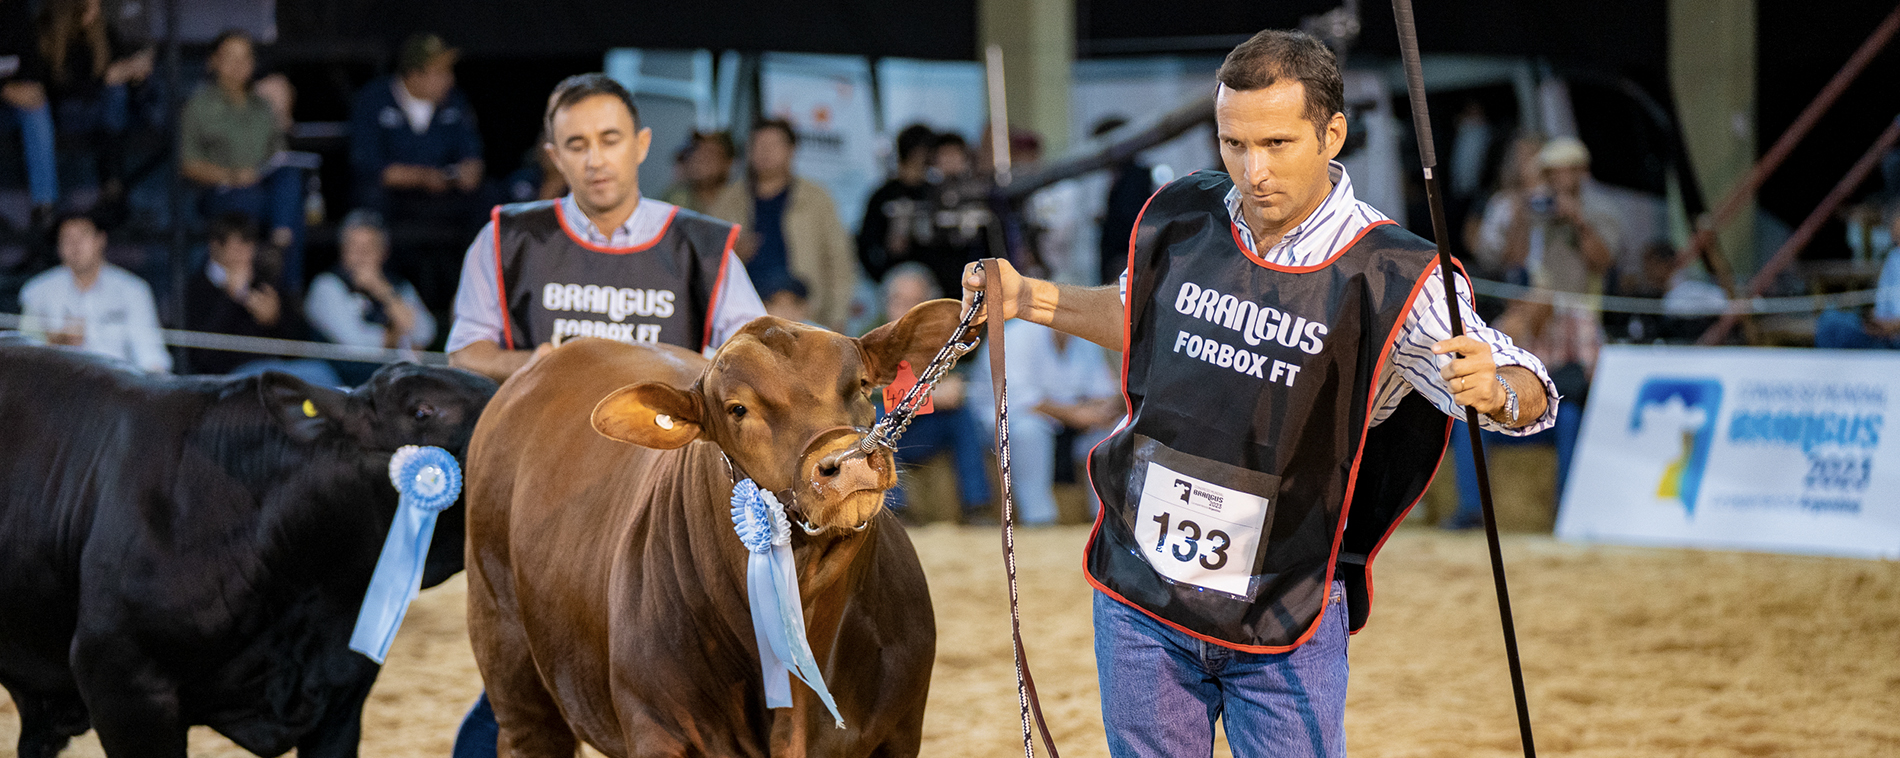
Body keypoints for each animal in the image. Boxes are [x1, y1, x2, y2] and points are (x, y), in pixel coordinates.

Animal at [461, 302, 965, 758]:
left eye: (861, 385)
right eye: (737, 408)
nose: (851, 461)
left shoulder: (901, 729)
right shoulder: (658, 729)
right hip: (506, 654)